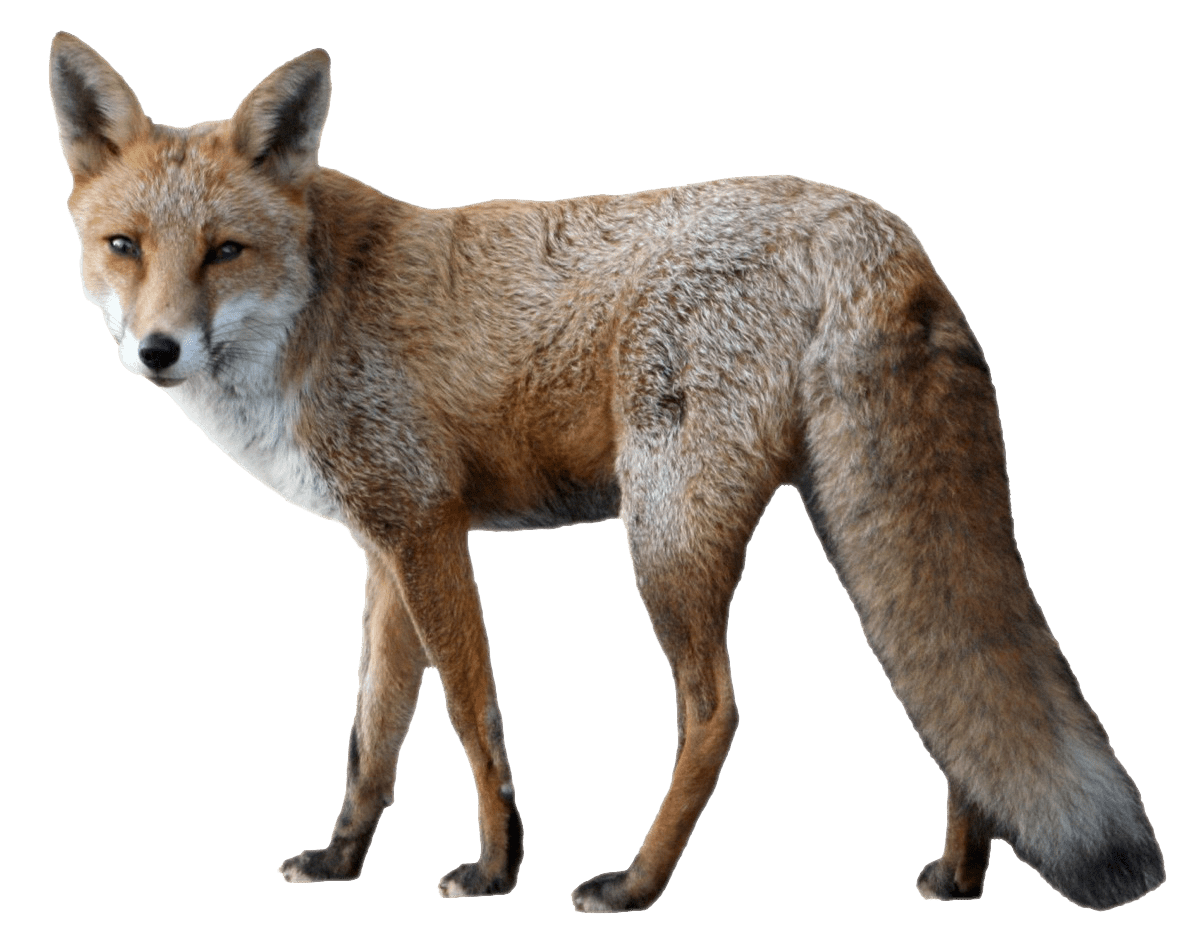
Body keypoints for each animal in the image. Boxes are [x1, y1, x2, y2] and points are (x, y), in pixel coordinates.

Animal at [49, 31, 1164, 912]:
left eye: (225, 251)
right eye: (124, 246)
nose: (158, 351)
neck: (317, 311)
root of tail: (872, 224)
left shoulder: (425, 528)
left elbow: (472, 714)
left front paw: (497, 868)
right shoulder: (385, 543)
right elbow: (373, 734)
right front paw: (340, 859)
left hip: (665, 535)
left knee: (717, 713)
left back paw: (636, 883)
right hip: (851, 525)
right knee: (943, 696)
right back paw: (959, 874)